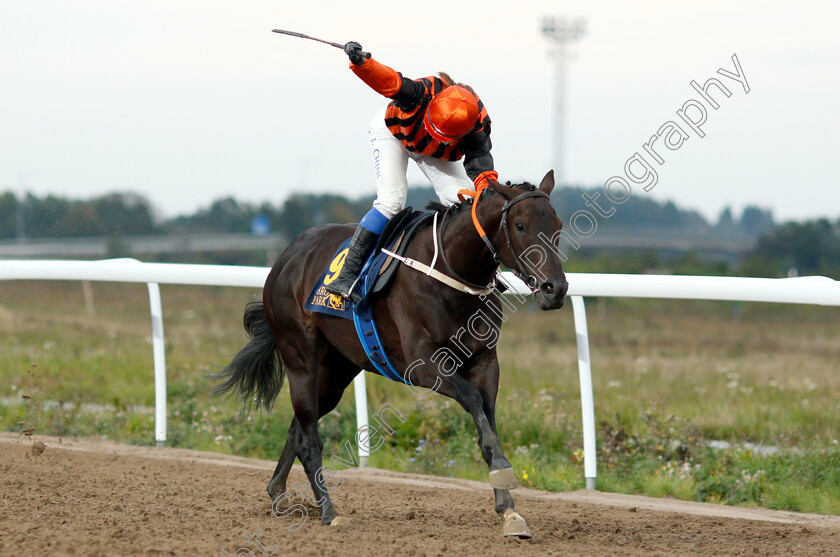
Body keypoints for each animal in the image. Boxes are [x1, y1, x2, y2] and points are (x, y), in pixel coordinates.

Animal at [215, 170, 572, 540]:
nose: (555, 289)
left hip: (335, 371)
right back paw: (329, 511)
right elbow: (473, 401)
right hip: (299, 356)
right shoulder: (425, 366)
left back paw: (278, 492)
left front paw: (509, 509)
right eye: (520, 225)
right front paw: (503, 473)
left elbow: (487, 420)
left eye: (557, 225)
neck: (453, 273)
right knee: (310, 438)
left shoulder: (486, 362)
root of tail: (286, 257)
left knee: (299, 428)